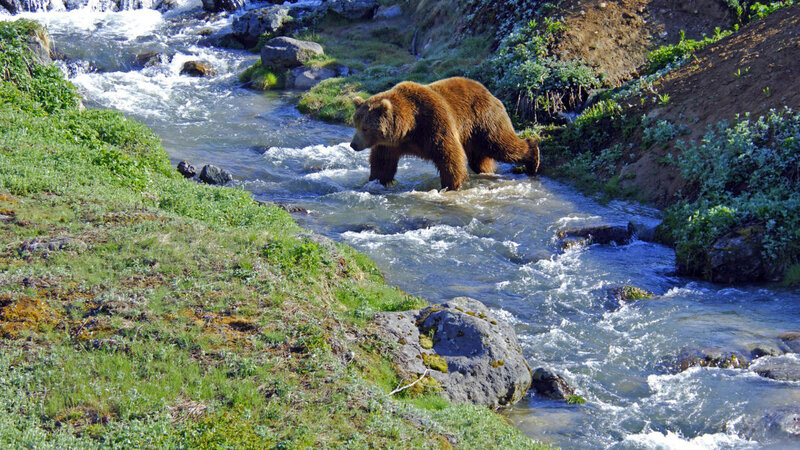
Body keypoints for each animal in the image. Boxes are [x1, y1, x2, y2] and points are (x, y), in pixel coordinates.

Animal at [350, 77, 539, 191]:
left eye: (365, 128)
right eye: (355, 124)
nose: (353, 144)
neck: (409, 128)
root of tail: (490, 93)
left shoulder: (433, 123)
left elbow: (449, 155)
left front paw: (451, 185)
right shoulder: (391, 144)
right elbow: (382, 162)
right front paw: (376, 181)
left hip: (484, 121)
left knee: (501, 144)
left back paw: (533, 158)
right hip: (473, 135)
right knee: (480, 158)